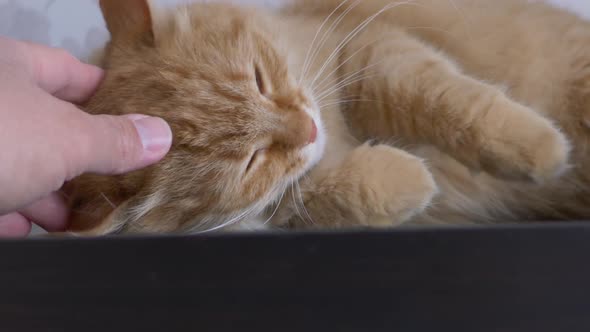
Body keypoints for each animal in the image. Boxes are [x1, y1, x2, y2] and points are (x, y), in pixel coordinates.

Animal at [65, 0, 590, 233]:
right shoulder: (290, 204)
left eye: (259, 79)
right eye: (250, 161)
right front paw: (409, 179)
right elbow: (334, 192)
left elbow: (452, 102)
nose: (309, 128)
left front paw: (539, 148)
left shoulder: (369, 52)